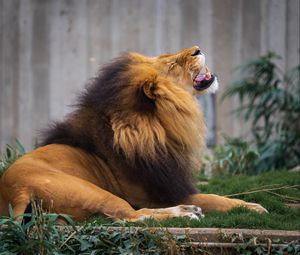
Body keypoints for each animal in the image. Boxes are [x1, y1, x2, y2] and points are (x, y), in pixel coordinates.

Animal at [0, 46, 268, 221]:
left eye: (165, 57)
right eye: (171, 64)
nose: (198, 48)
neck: (160, 127)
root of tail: (14, 193)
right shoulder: (158, 194)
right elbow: (213, 198)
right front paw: (252, 206)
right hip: (94, 191)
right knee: (131, 216)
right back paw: (185, 213)